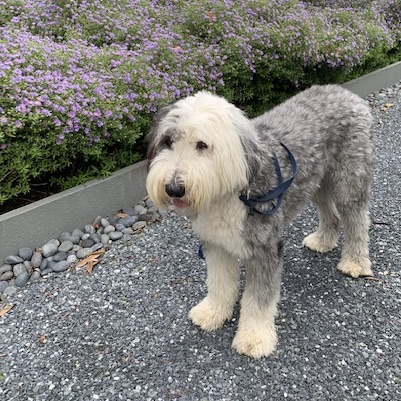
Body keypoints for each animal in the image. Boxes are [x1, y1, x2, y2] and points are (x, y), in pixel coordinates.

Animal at [145, 84, 374, 356]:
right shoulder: (216, 244)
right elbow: (219, 283)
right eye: (168, 142)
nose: (173, 188)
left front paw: (254, 338)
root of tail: (341, 90)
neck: (232, 190)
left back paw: (355, 262)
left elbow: (258, 299)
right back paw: (323, 240)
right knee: (331, 212)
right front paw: (213, 312)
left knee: (356, 219)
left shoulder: (266, 249)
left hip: (349, 176)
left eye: (202, 145)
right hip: (316, 181)